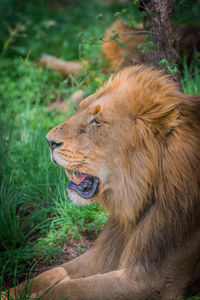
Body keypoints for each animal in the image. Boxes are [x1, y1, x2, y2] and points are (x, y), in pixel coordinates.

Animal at [3, 66, 200, 300]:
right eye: (80, 109)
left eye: (96, 121)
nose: (48, 141)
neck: (137, 203)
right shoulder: (103, 253)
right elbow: (52, 273)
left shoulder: (154, 281)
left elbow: (69, 288)